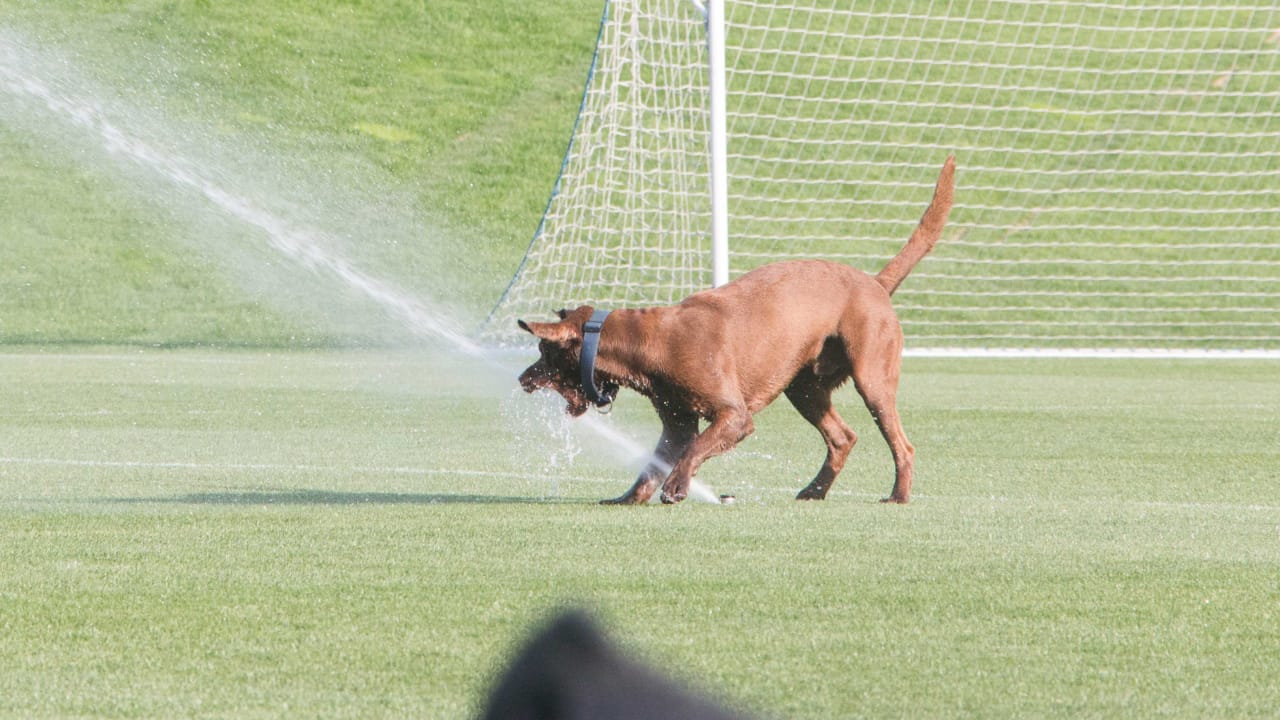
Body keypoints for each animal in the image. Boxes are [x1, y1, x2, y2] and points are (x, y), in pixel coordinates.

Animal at [517, 155, 952, 504]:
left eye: (543, 353)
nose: (521, 379)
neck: (645, 340)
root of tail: (875, 284)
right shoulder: (676, 424)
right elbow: (653, 464)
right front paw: (628, 498)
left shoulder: (733, 416)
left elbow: (697, 449)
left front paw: (676, 488)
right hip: (804, 387)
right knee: (843, 437)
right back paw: (814, 491)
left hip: (872, 379)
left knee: (902, 445)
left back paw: (898, 496)